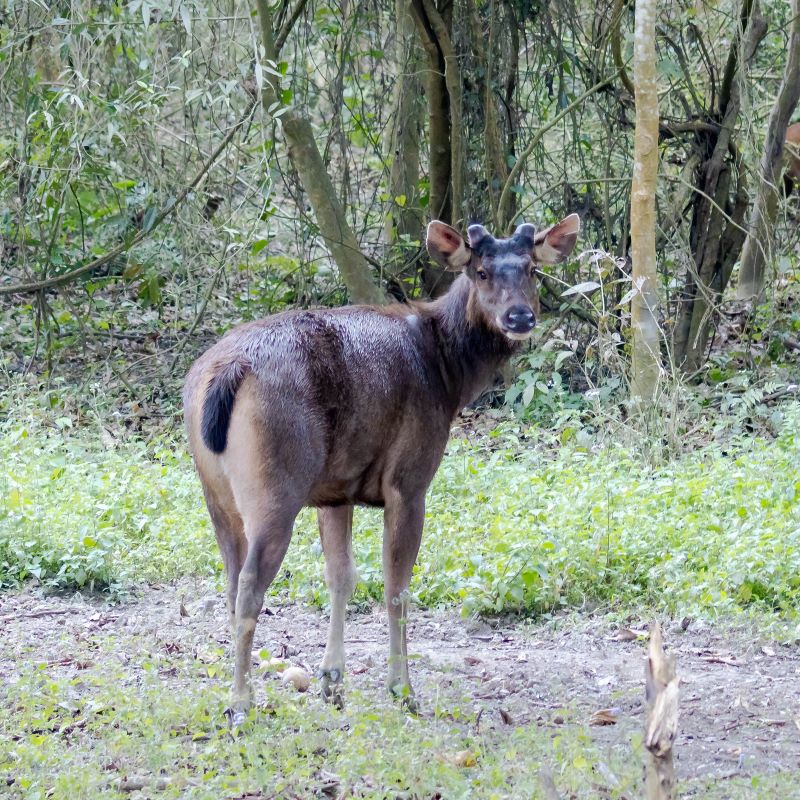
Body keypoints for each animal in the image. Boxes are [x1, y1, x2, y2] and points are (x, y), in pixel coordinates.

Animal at [184, 212, 580, 724]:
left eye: (531, 268)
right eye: (480, 271)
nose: (520, 317)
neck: (448, 374)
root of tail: (226, 371)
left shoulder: (335, 491)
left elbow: (341, 577)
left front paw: (333, 683)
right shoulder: (408, 482)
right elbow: (397, 587)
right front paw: (402, 689)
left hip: (216, 494)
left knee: (231, 583)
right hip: (276, 485)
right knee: (251, 586)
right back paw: (241, 704)